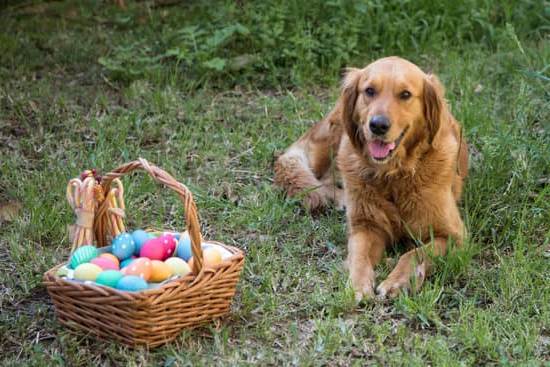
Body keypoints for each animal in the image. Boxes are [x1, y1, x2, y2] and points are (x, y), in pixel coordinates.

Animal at [276, 56, 470, 300]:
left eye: (405, 94)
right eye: (369, 91)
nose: (378, 125)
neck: (393, 175)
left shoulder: (454, 236)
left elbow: (415, 254)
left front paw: (398, 281)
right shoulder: (365, 227)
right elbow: (359, 255)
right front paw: (357, 285)